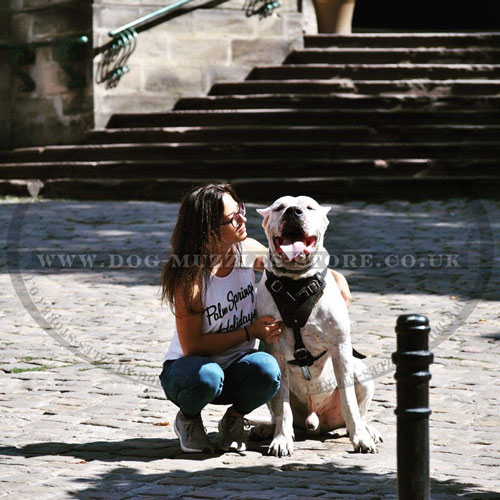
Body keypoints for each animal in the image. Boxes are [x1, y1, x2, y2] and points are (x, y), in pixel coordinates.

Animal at [252, 195, 380, 458]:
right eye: (279, 207)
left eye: (309, 207)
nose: (293, 211)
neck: (296, 283)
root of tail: (315, 421)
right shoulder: (275, 348)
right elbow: (282, 405)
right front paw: (281, 439)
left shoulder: (340, 346)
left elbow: (349, 400)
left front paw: (360, 438)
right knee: (278, 411)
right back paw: (267, 429)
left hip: (361, 372)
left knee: (359, 411)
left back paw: (366, 429)